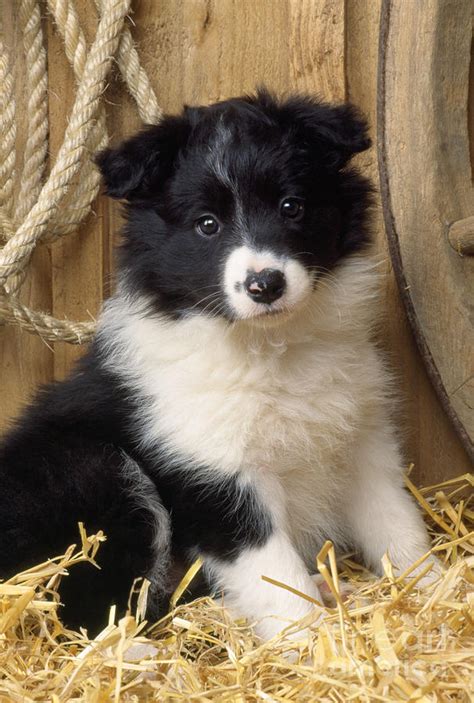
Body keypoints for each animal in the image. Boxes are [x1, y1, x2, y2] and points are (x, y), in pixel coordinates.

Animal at [0, 91, 436, 640]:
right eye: (207, 224)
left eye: (291, 207)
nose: (265, 284)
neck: (271, 348)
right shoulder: (217, 475)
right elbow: (273, 572)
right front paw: (307, 639)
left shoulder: (361, 442)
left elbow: (397, 525)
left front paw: (436, 589)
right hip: (97, 474)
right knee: (90, 611)